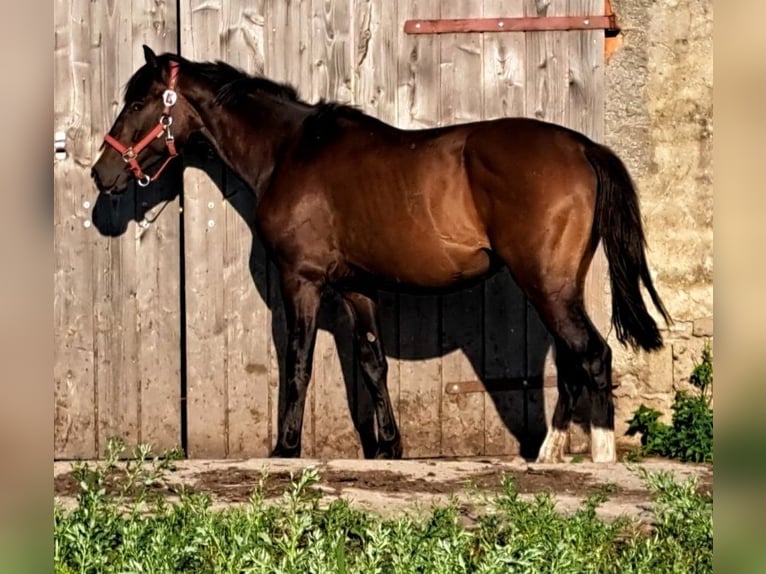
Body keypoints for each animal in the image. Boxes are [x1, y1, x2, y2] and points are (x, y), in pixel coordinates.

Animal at [91, 47, 672, 466]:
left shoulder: (302, 280)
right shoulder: (357, 286)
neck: (290, 151)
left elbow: (298, 363)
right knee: (573, 361)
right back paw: (549, 455)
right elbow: (373, 364)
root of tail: (583, 147)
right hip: (555, 286)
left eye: (138, 103)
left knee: (592, 355)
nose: (102, 173)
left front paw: (286, 448)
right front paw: (390, 446)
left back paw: (599, 458)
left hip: (546, 283)